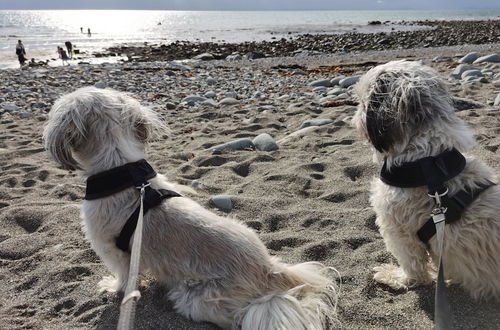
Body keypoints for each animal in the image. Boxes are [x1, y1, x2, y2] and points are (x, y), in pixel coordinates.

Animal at [44, 86, 340, 328]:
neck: (122, 170)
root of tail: (271, 271)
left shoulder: (114, 252)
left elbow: (123, 278)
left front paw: (113, 288)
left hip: (193, 298)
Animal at [352, 60, 500, 300]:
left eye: (363, 102)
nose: (354, 116)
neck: (431, 164)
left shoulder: (399, 232)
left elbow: (413, 267)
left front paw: (396, 277)